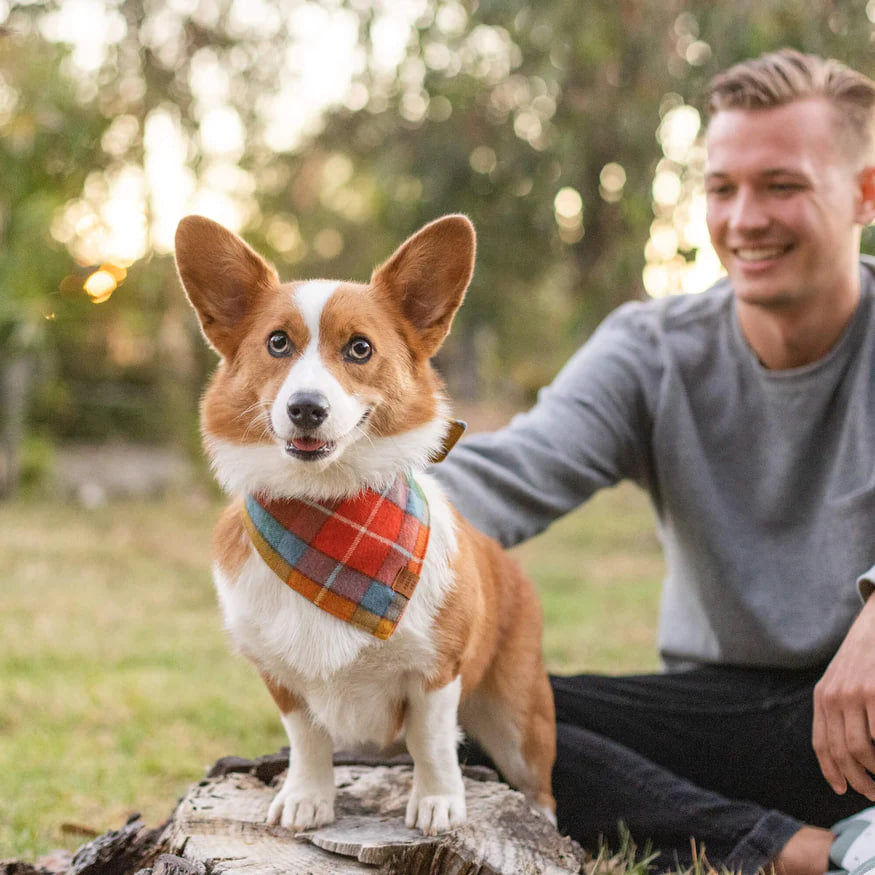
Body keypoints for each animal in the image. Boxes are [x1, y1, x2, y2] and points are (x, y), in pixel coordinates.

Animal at [175, 216, 556, 840]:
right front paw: (306, 799)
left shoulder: (435, 671)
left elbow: (431, 743)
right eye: (277, 343)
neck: (329, 510)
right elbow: (307, 740)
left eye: (360, 349)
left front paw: (437, 803)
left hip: (518, 716)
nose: (306, 408)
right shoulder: (281, 678)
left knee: (535, 781)